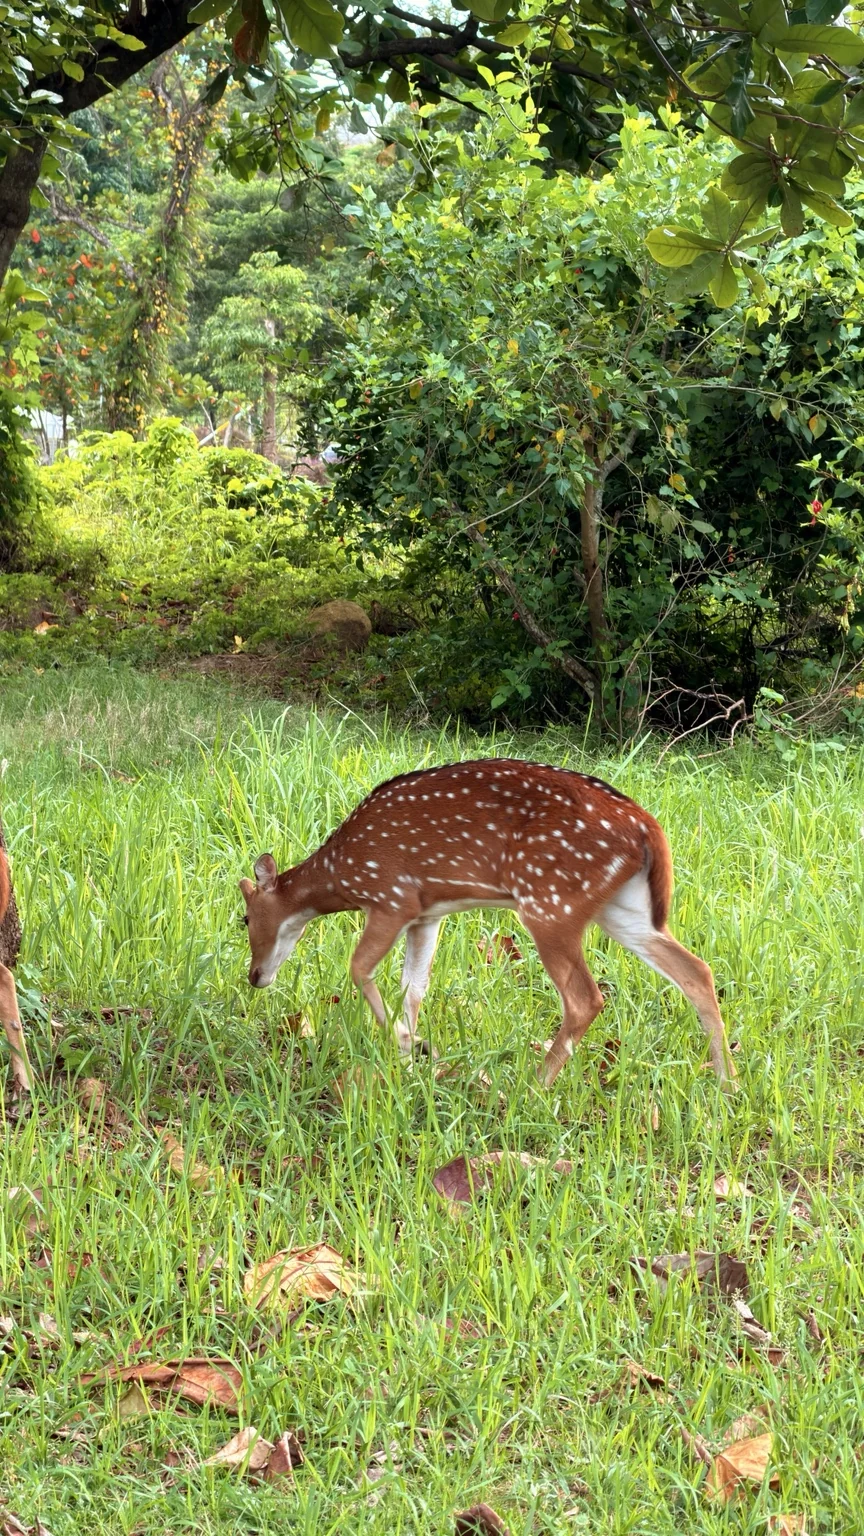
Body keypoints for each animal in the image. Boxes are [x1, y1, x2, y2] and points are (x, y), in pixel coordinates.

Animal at [239, 758, 735, 1088]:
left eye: (243, 918)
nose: (255, 976)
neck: (341, 875)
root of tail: (648, 827)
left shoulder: (392, 897)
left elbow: (359, 967)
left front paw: (408, 1044)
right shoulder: (427, 914)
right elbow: (413, 987)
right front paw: (413, 1058)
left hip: (550, 902)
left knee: (586, 998)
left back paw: (532, 1085)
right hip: (621, 909)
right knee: (696, 970)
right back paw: (726, 1083)